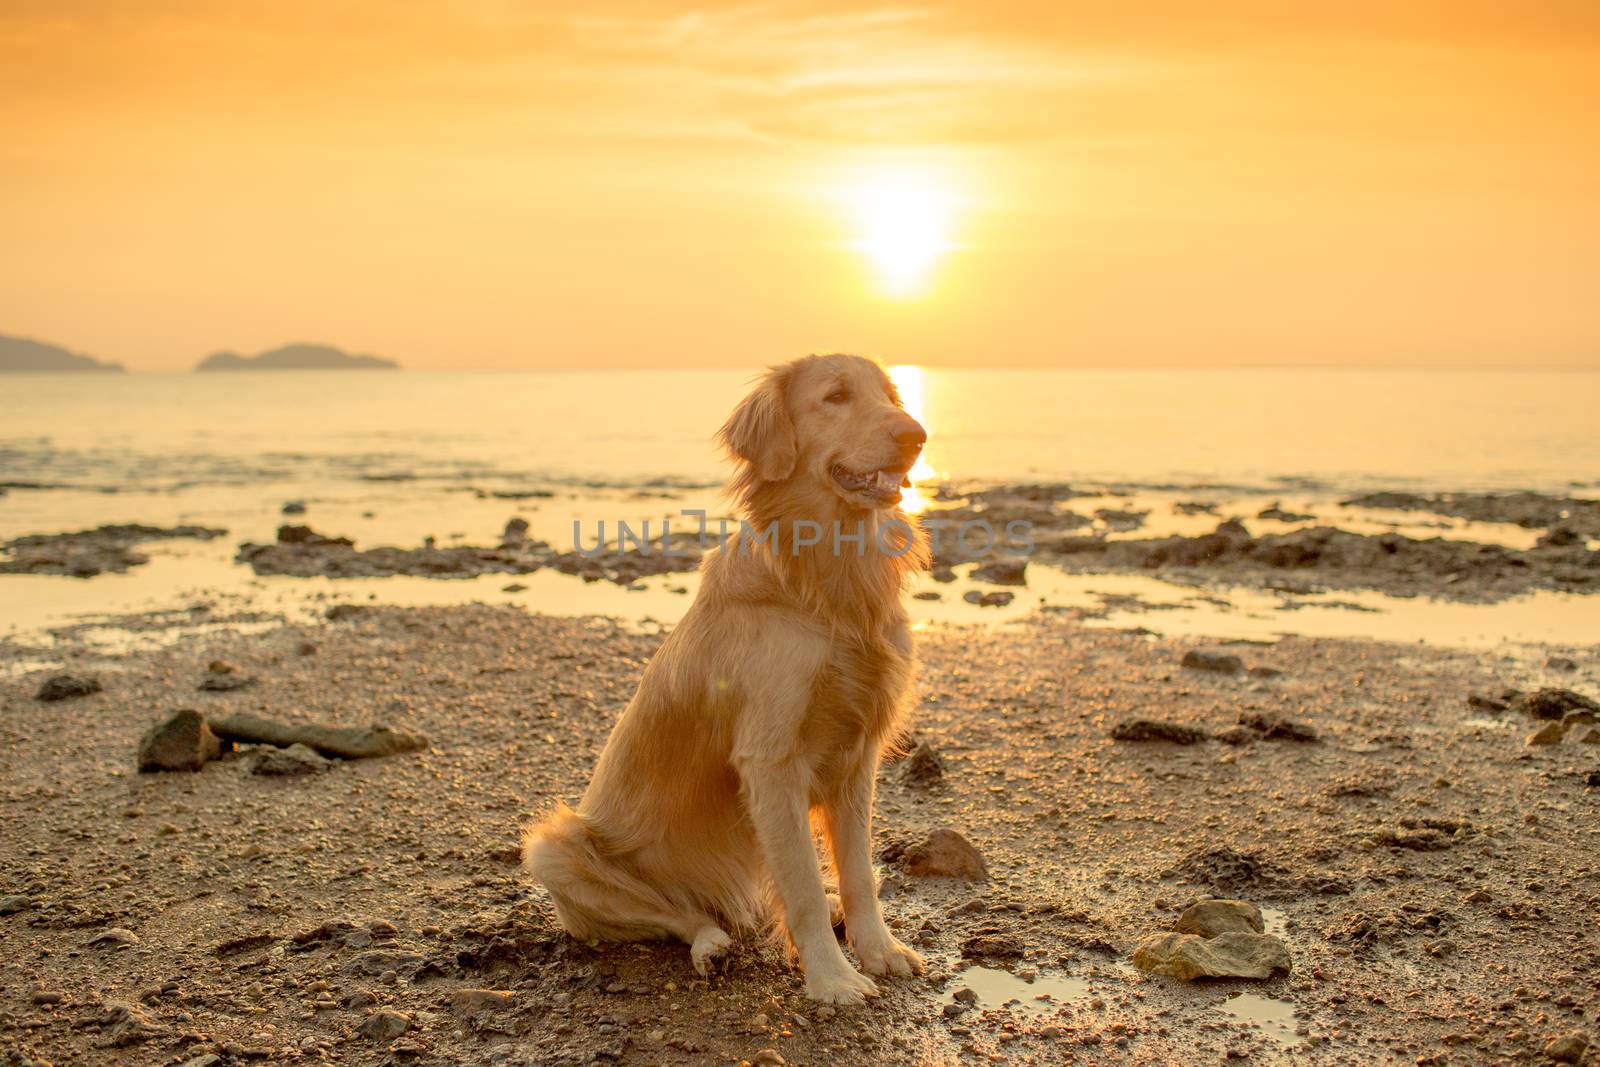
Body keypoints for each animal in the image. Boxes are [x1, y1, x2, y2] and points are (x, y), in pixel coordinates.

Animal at [521, 355, 928, 1004]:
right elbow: (803, 891)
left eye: (890, 395)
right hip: (553, 850)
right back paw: (710, 942)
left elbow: (859, 873)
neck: (823, 585)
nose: (916, 435)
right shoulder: (770, 761)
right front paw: (833, 978)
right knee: (679, 914)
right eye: (836, 396)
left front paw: (878, 949)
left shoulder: (856, 756)